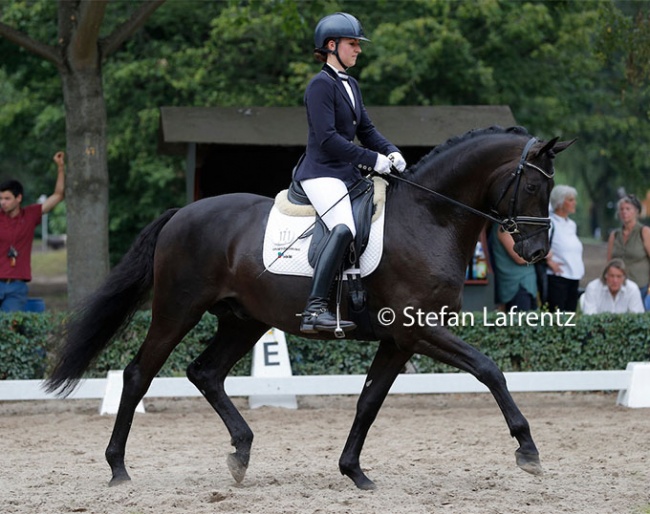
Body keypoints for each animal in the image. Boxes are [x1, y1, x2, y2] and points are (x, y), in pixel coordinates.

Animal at [46, 125, 572, 488]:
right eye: (532, 187)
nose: (537, 251)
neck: (429, 218)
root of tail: (183, 213)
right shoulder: (417, 329)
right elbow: (489, 369)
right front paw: (528, 451)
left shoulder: (400, 340)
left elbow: (369, 400)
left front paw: (354, 471)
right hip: (177, 309)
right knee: (139, 374)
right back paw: (118, 469)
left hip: (244, 321)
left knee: (205, 373)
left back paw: (241, 454)